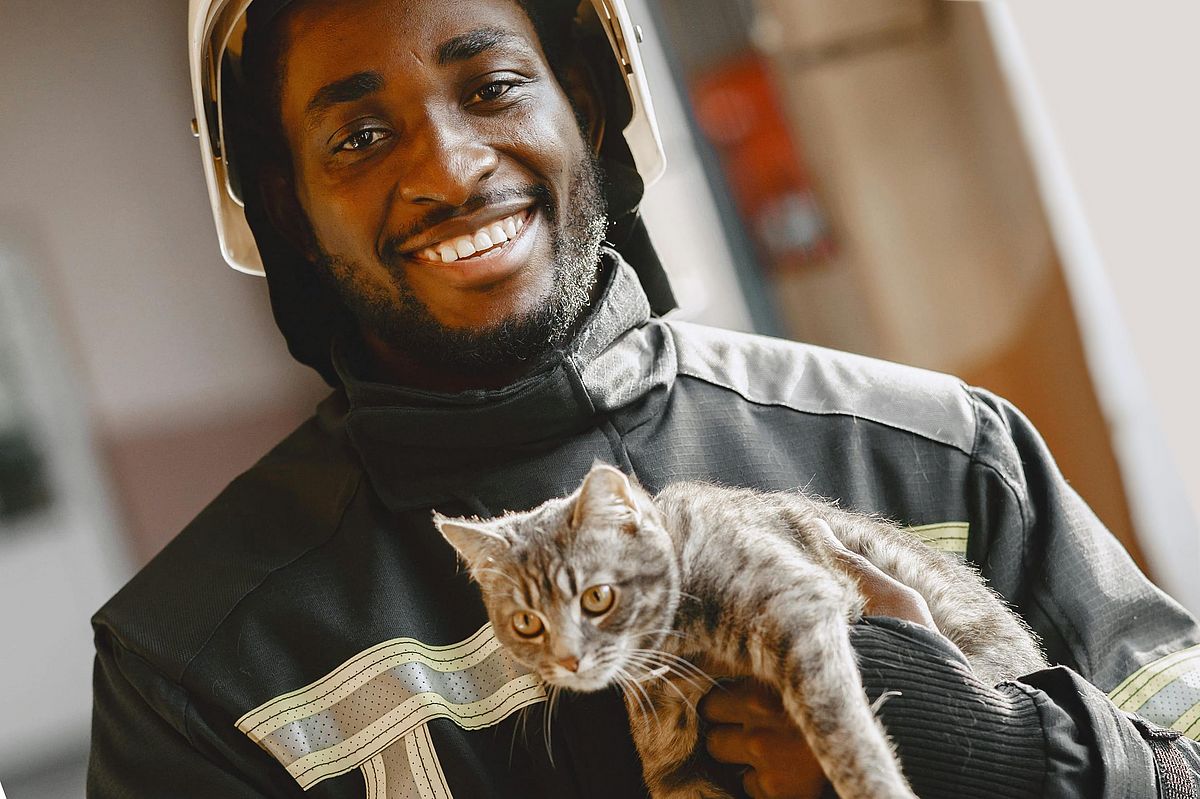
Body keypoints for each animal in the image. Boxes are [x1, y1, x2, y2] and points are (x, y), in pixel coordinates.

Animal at [436, 460, 1046, 796]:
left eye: (597, 596)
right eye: (526, 622)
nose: (568, 659)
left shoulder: (801, 605)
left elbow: (847, 736)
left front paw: (878, 787)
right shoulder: (669, 758)